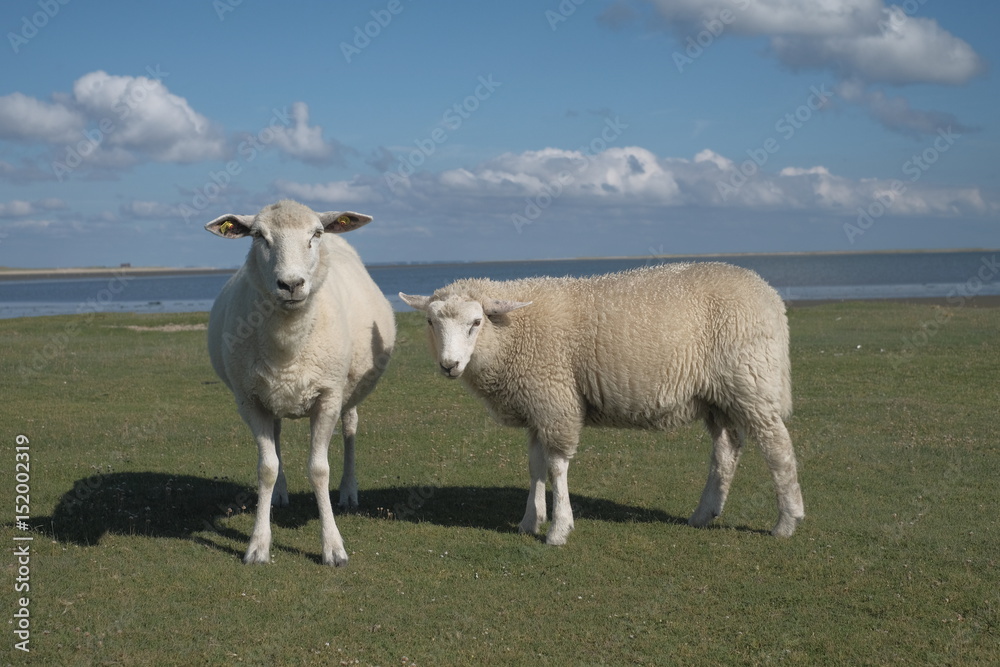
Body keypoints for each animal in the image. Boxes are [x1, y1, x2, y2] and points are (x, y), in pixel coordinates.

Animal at [205, 199, 394, 566]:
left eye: (316, 234)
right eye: (258, 236)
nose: (291, 284)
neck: (288, 344)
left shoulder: (328, 396)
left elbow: (319, 470)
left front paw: (333, 547)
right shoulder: (249, 400)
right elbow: (266, 468)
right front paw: (258, 545)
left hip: (348, 390)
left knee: (351, 427)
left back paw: (349, 491)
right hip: (272, 395)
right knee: (277, 439)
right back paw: (280, 495)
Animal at [400, 262, 804, 545]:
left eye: (476, 322)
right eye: (430, 322)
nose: (449, 365)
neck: (512, 332)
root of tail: (769, 294)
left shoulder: (555, 400)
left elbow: (556, 467)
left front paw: (559, 529)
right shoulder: (537, 404)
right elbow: (534, 467)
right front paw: (530, 521)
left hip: (752, 381)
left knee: (778, 449)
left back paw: (787, 521)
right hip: (718, 396)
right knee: (726, 450)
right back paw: (704, 513)